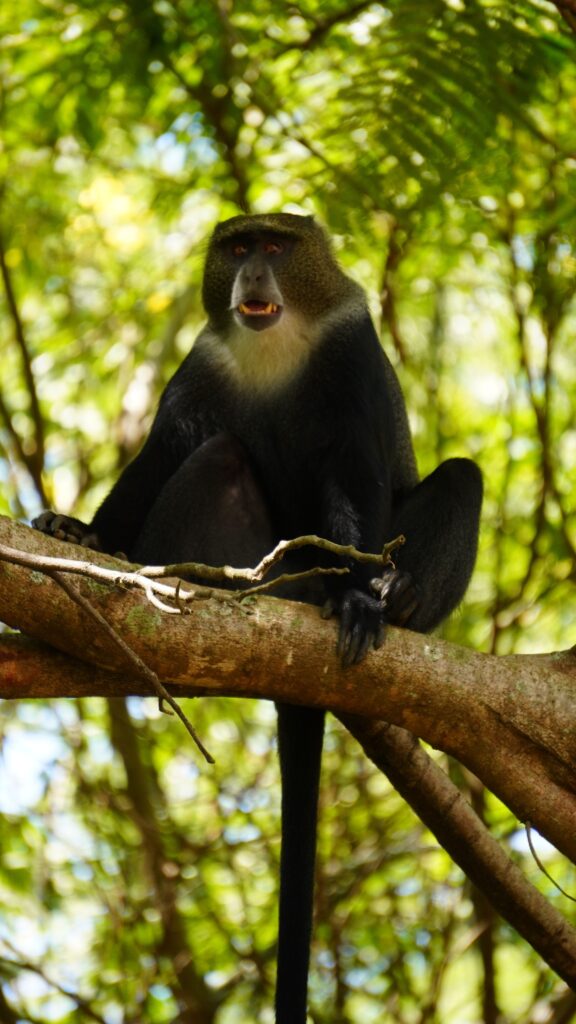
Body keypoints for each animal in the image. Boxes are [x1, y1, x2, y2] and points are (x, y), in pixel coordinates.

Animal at [34, 212, 483, 1023]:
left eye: (276, 247)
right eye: (238, 248)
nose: (252, 274)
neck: (278, 347)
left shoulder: (350, 355)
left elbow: (355, 476)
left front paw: (363, 597)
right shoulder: (204, 365)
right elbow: (164, 453)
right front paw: (82, 533)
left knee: (462, 477)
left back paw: (394, 600)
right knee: (220, 453)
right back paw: (194, 585)